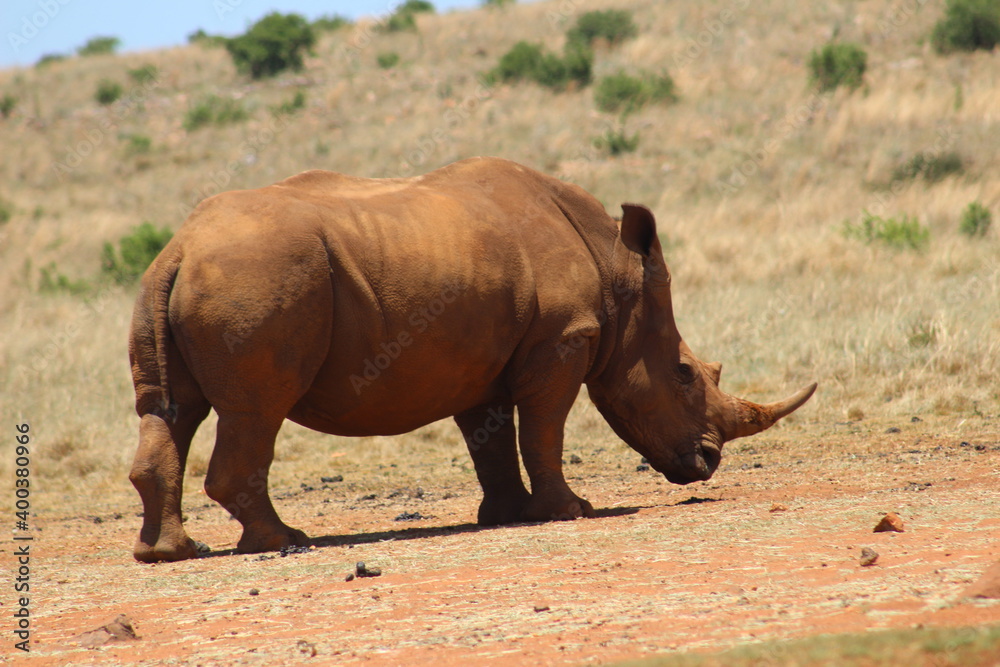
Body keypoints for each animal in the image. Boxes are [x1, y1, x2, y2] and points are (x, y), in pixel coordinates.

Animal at [128, 157, 815, 562]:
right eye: (684, 374)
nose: (708, 463)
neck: (618, 273)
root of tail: (180, 249)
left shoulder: (481, 355)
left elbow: (491, 440)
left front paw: (505, 516)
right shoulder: (562, 339)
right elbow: (542, 429)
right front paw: (569, 512)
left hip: (194, 281)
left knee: (172, 412)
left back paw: (170, 553)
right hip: (259, 277)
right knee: (256, 412)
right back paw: (285, 543)